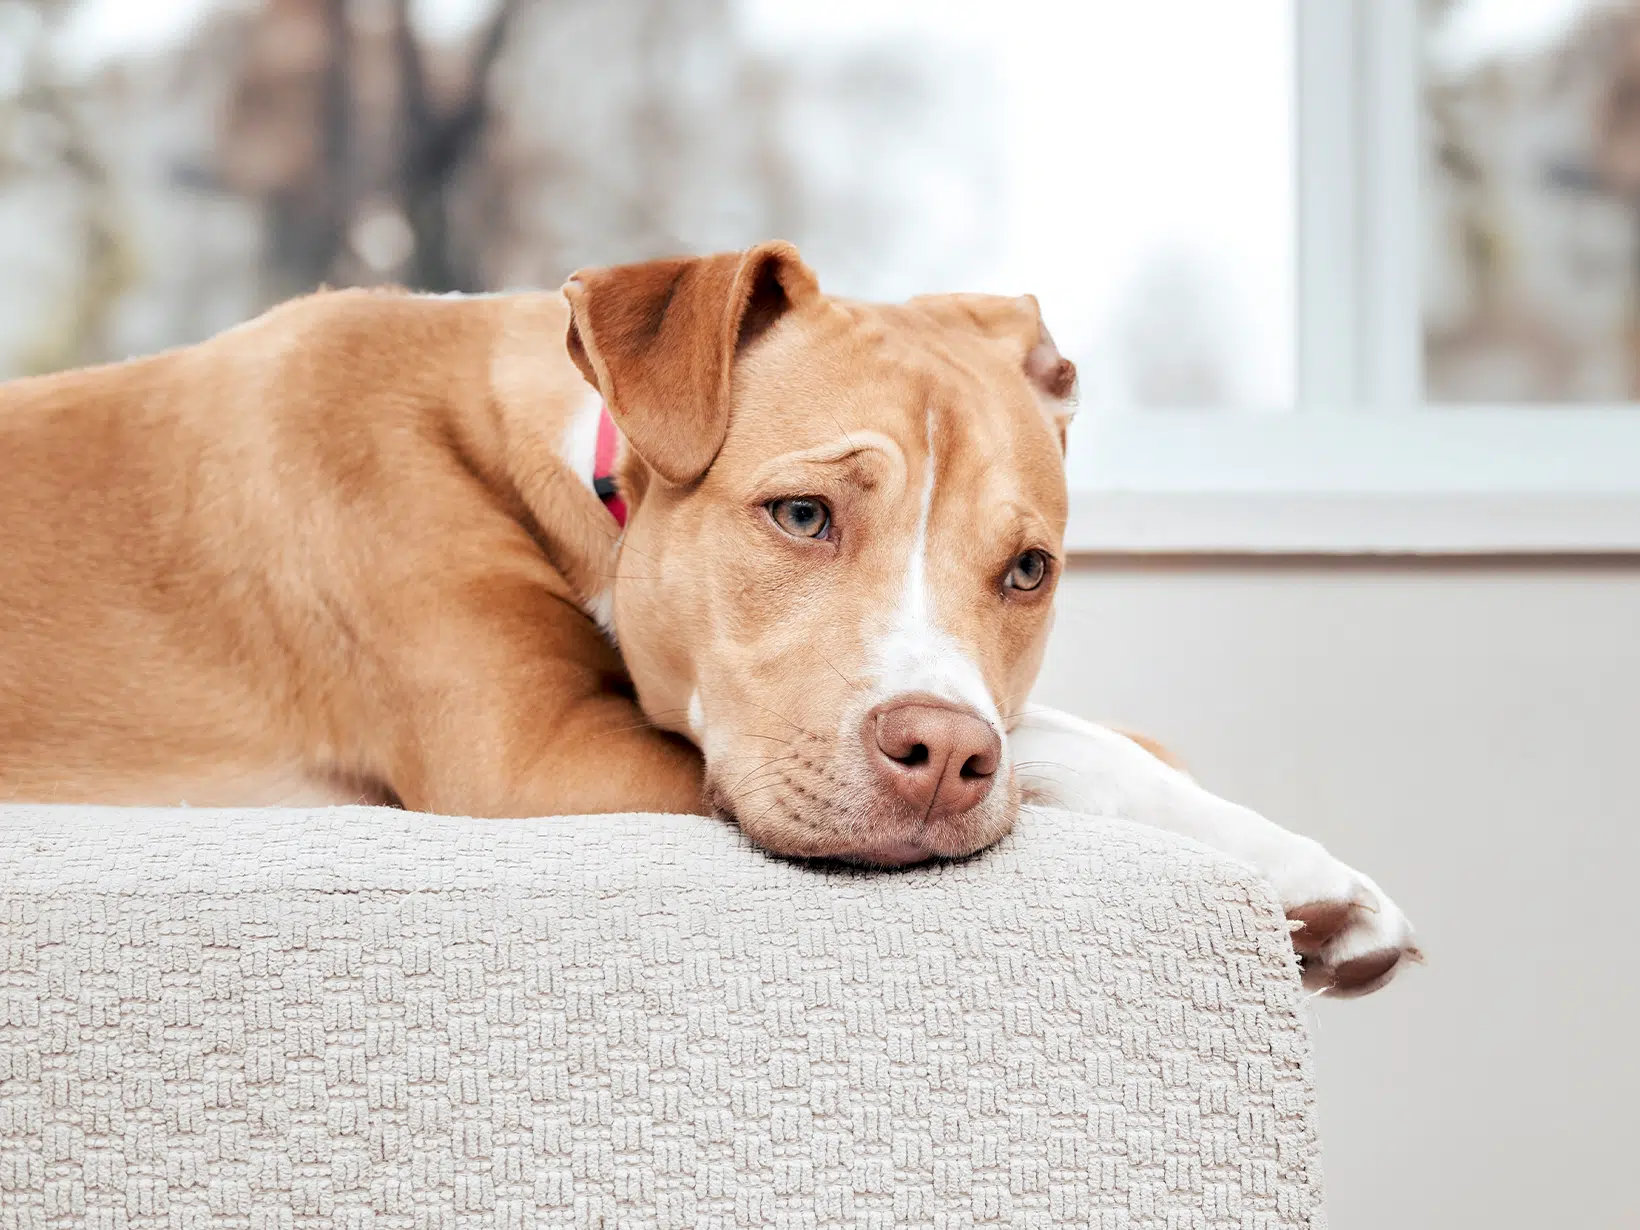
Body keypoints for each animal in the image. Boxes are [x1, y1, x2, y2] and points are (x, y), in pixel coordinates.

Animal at [0, 242, 1416, 1003]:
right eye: (798, 515)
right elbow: (1054, 746)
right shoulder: (533, 757)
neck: (584, 461)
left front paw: (1305, 872)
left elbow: (1065, 730)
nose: (945, 759)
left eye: (1027, 572)